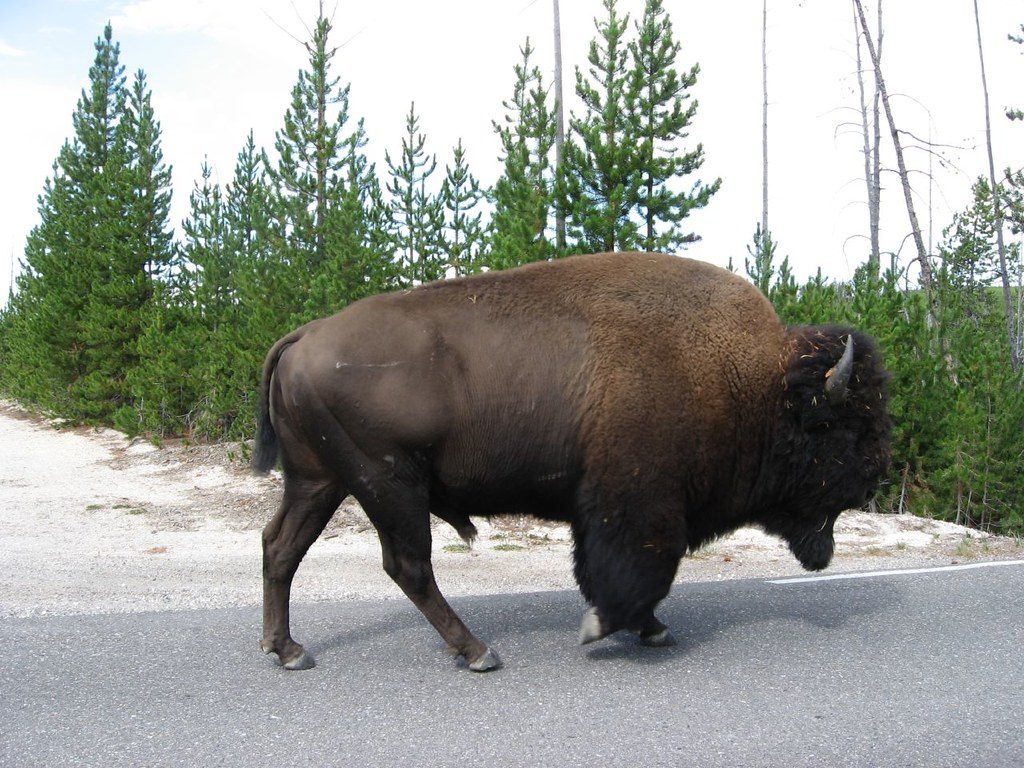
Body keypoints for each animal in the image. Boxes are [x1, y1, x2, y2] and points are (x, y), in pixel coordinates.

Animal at [252, 252, 891, 672]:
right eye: (840, 426)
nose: (874, 479)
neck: (750, 381)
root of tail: (305, 335)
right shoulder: (639, 506)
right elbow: (640, 572)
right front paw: (605, 627)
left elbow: (614, 574)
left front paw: (651, 629)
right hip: (388, 483)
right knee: (407, 565)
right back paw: (478, 652)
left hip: (320, 481)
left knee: (281, 545)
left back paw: (288, 650)